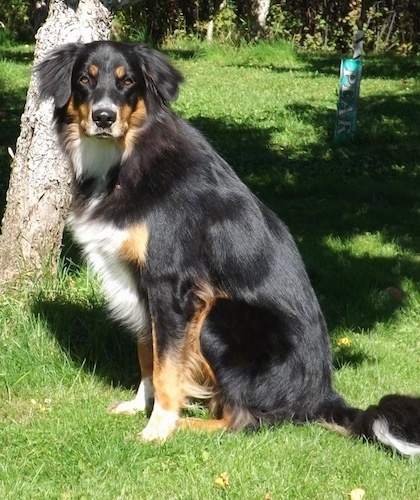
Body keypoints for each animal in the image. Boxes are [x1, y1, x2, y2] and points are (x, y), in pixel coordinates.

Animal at [35, 41, 420, 452]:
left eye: (127, 83)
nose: (104, 117)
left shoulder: (172, 284)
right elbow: (147, 354)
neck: (126, 158)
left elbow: (166, 366)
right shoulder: (140, 284)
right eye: (84, 79)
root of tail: (323, 396)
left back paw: (190, 424)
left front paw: (158, 427)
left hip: (219, 316)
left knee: (245, 420)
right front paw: (140, 404)